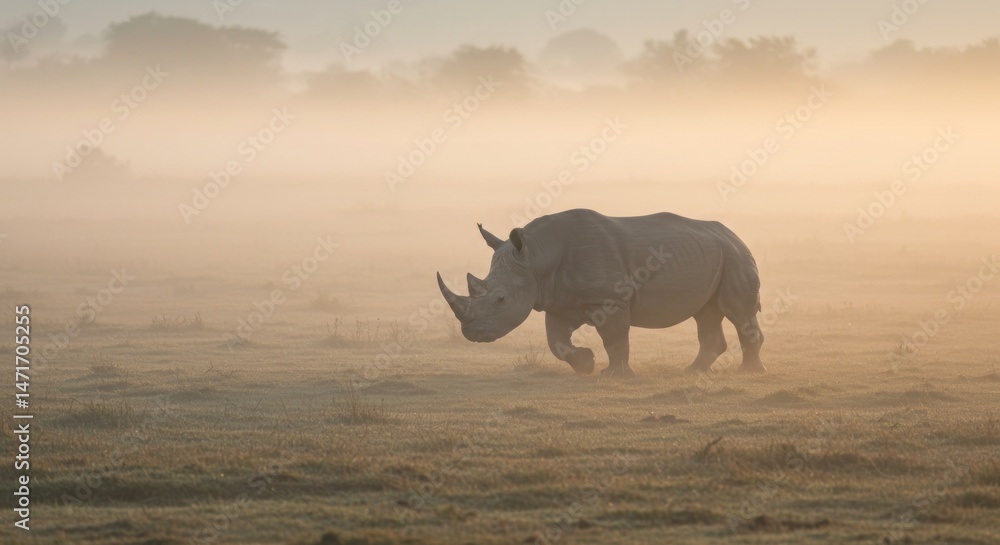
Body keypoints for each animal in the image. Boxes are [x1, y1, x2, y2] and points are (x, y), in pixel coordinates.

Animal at [436, 209, 765, 377]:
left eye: (500, 299)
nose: (472, 334)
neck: (536, 257)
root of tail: (733, 233)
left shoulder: (611, 298)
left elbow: (615, 338)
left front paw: (614, 376)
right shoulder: (557, 301)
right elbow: (556, 341)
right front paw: (586, 364)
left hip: (734, 254)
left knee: (737, 312)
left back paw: (748, 373)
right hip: (713, 253)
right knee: (706, 314)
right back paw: (692, 372)